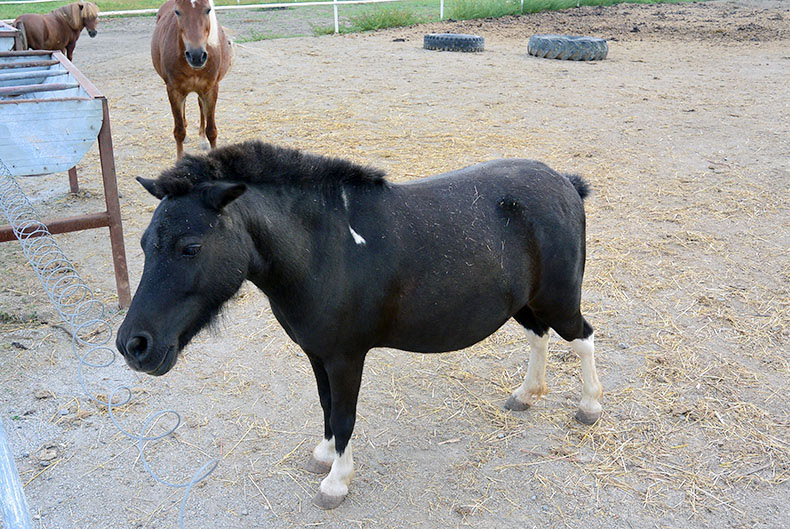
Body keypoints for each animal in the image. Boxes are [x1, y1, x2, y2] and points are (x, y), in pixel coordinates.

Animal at [116, 139, 608, 508]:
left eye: (191, 247)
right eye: (143, 242)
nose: (134, 345)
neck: (326, 248)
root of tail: (565, 183)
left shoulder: (346, 357)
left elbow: (344, 415)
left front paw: (336, 482)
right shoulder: (317, 354)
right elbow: (326, 408)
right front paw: (324, 455)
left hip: (558, 300)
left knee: (582, 339)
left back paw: (589, 407)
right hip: (526, 303)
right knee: (538, 337)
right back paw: (526, 395)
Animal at [152, 0, 232, 159]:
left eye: (208, 10)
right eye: (177, 12)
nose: (196, 56)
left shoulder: (211, 89)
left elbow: (211, 130)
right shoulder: (174, 91)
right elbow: (179, 131)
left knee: (201, 107)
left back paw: (202, 140)